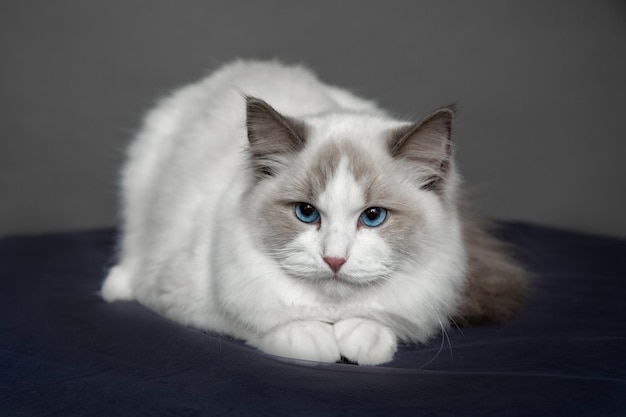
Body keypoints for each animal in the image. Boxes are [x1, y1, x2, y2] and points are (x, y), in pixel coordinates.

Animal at [101, 58, 528, 364]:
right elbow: (265, 322)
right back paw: (115, 286)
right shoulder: (182, 299)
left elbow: (380, 322)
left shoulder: (421, 305)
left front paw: (361, 338)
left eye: (373, 217)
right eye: (306, 212)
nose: (334, 260)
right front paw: (315, 338)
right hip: (138, 185)